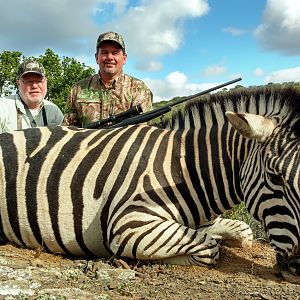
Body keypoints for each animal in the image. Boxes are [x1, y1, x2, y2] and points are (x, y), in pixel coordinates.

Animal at [0, 84, 298, 278]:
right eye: (276, 177)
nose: (298, 269)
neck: (185, 170)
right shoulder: (129, 223)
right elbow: (209, 249)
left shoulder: (204, 221)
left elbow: (243, 233)